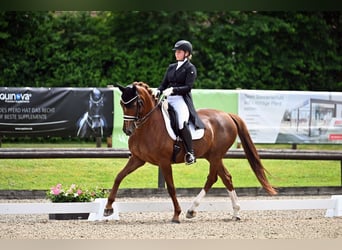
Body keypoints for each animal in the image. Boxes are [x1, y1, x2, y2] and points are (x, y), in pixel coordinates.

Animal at [103, 82, 276, 223]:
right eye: (121, 103)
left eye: (137, 103)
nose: (127, 130)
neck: (148, 126)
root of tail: (227, 115)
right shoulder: (138, 159)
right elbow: (118, 177)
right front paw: (108, 208)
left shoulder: (164, 162)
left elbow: (171, 187)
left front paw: (176, 215)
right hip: (213, 156)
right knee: (226, 178)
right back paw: (235, 213)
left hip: (215, 156)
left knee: (212, 178)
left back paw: (192, 209)